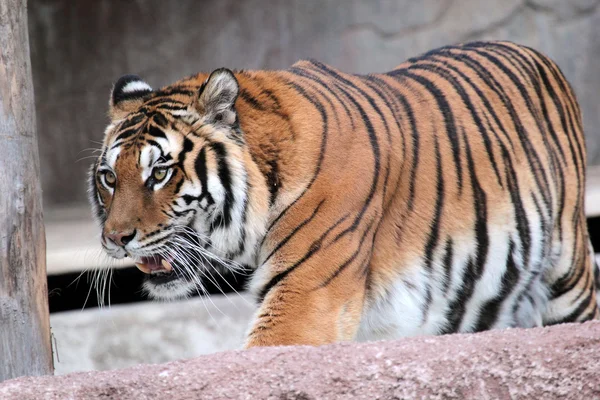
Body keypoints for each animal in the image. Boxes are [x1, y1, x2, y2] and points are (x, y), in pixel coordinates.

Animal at [90, 41, 600, 346]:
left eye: (160, 172)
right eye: (109, 178)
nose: (115, 239)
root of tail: (533, 53)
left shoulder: (306, 294)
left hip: (567, 273)